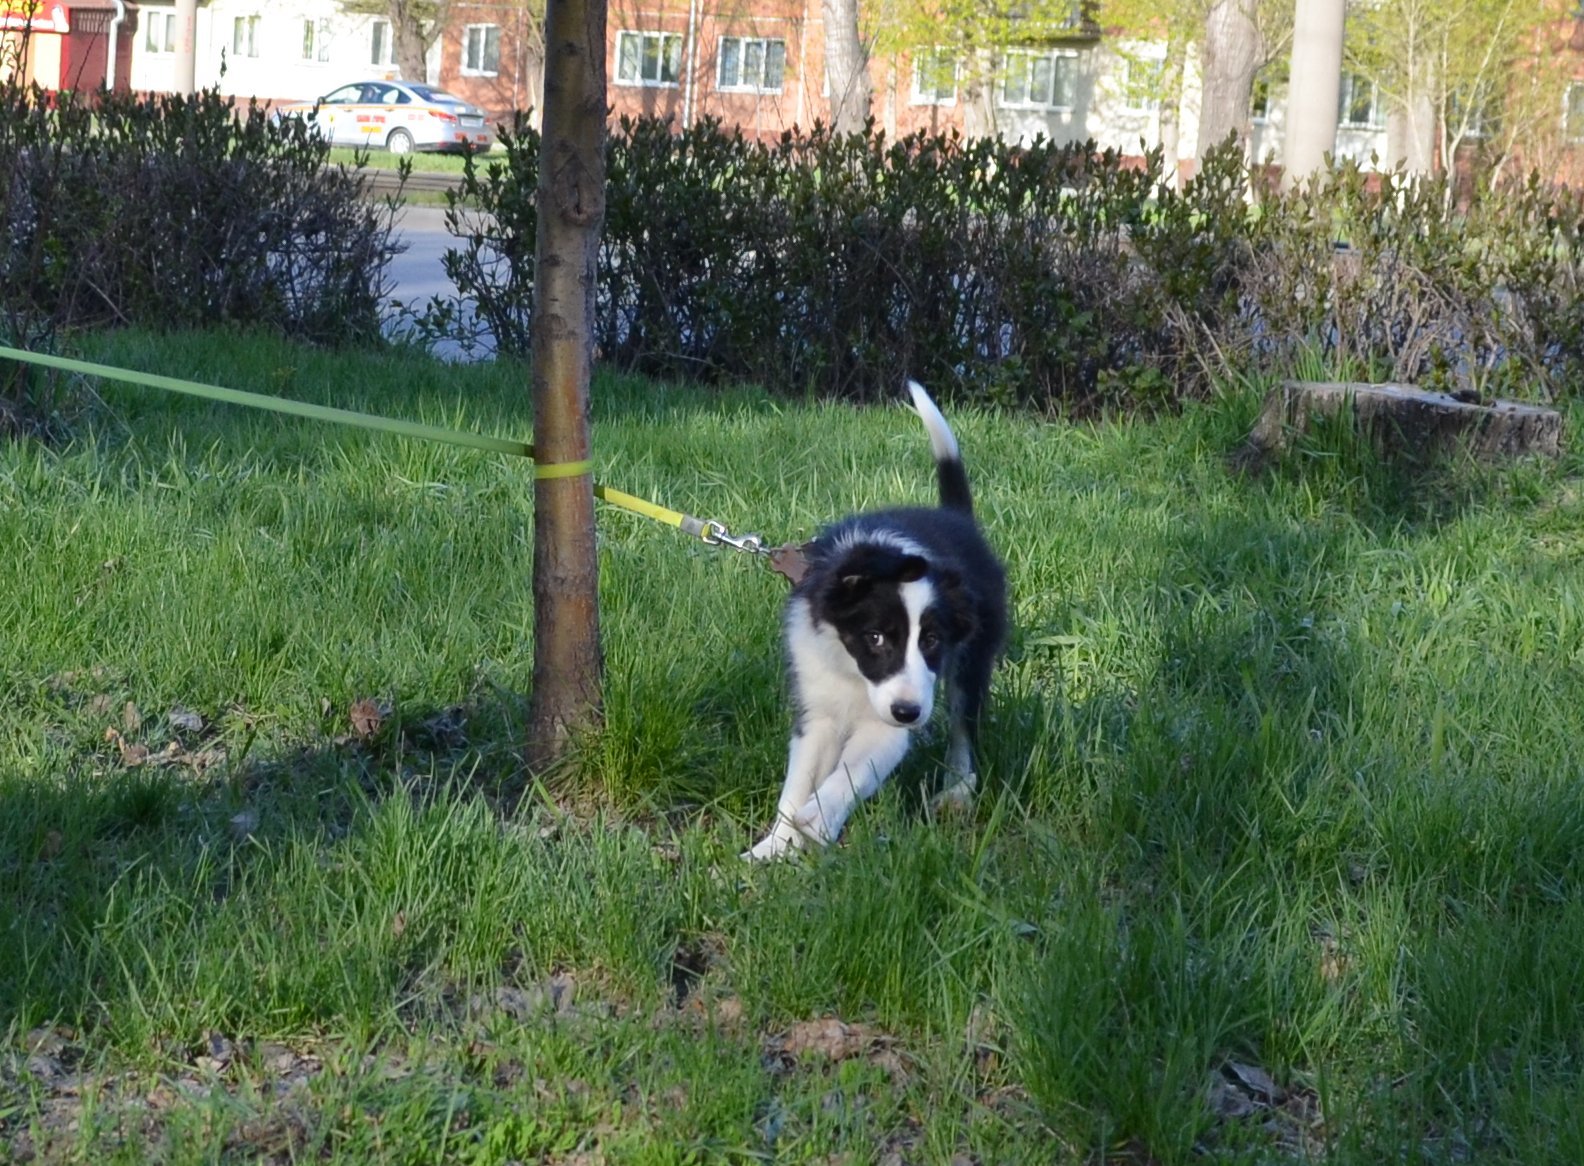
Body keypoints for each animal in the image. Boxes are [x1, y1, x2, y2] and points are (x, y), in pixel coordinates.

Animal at [744, 383, 1013, 855]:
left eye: (931, 640)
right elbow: (797, 783)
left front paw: (816, 820)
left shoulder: (888, 727)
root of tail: (957, 518)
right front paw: (774, 847)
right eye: (874, 637)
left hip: (974, 658)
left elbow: (851, 773)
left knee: (964, 726)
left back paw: (958, 791)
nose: (908, 712)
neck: (855, 675)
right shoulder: (817, 709)